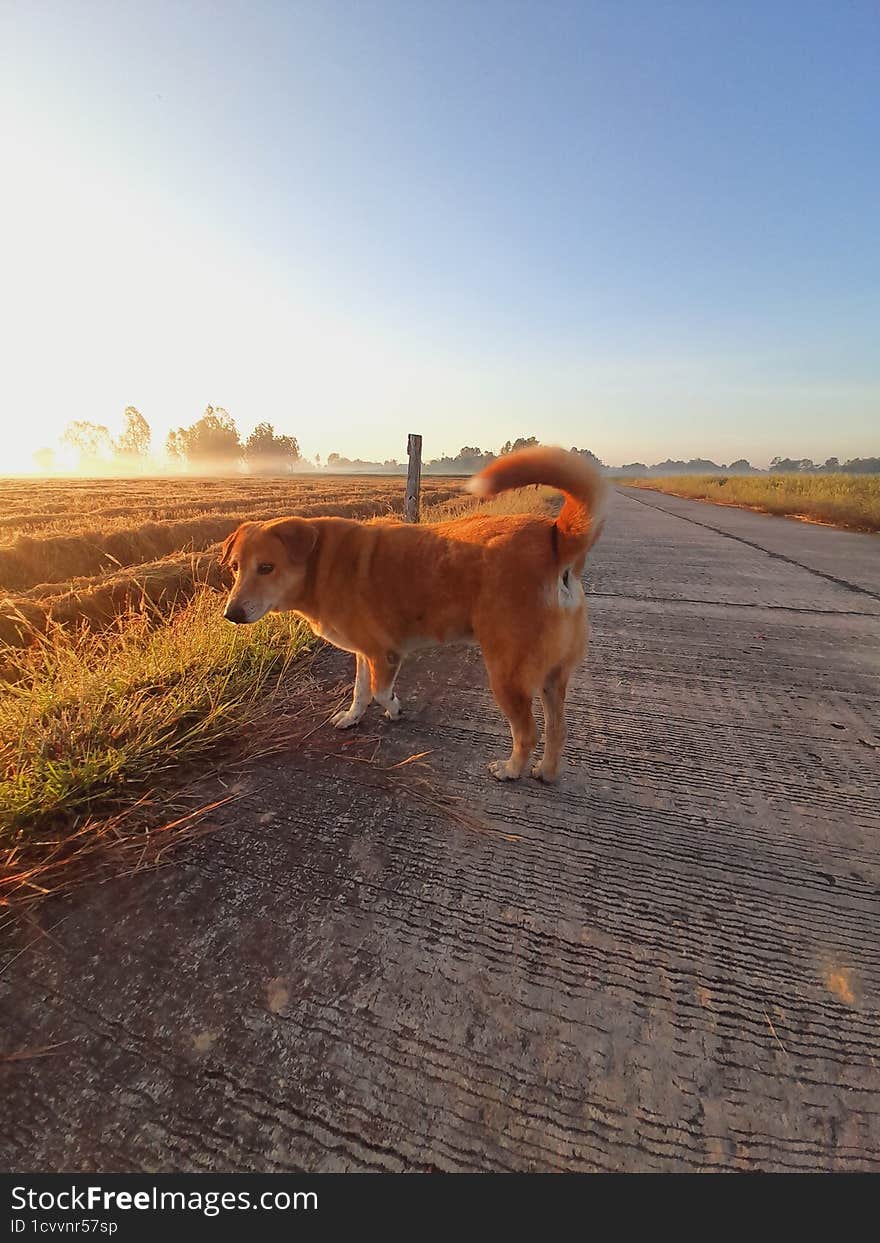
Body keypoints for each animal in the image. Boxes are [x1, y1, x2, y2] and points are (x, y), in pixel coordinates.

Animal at [219, 444, 604, 775]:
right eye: (235, 567)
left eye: (266, 567)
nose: (231, 614)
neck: (321, 562)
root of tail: (554, 536)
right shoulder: (365, 652)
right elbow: (360, 691)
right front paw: (353, 717)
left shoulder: (385, 654)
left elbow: (379, 691)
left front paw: (395, 708)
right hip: (552, 677)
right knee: (558, 729)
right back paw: (547, 772)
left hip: (507, 675)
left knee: (528, 732)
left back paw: (511, 770)